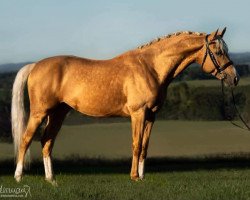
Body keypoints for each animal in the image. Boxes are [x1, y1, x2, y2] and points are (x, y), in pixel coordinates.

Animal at [12, 27, 239, 184]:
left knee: (47, 141)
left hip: (58, 113)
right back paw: (19, 176)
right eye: (219, 52)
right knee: (26, 139)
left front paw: (142, 176)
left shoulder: (151, 115)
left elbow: (145, 146)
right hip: (39, 112)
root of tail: (35, 65)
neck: (151, 67)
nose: (234, 78)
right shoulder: (138, 114)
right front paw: (134, 177)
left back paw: (51, 179)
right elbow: (136, 144)